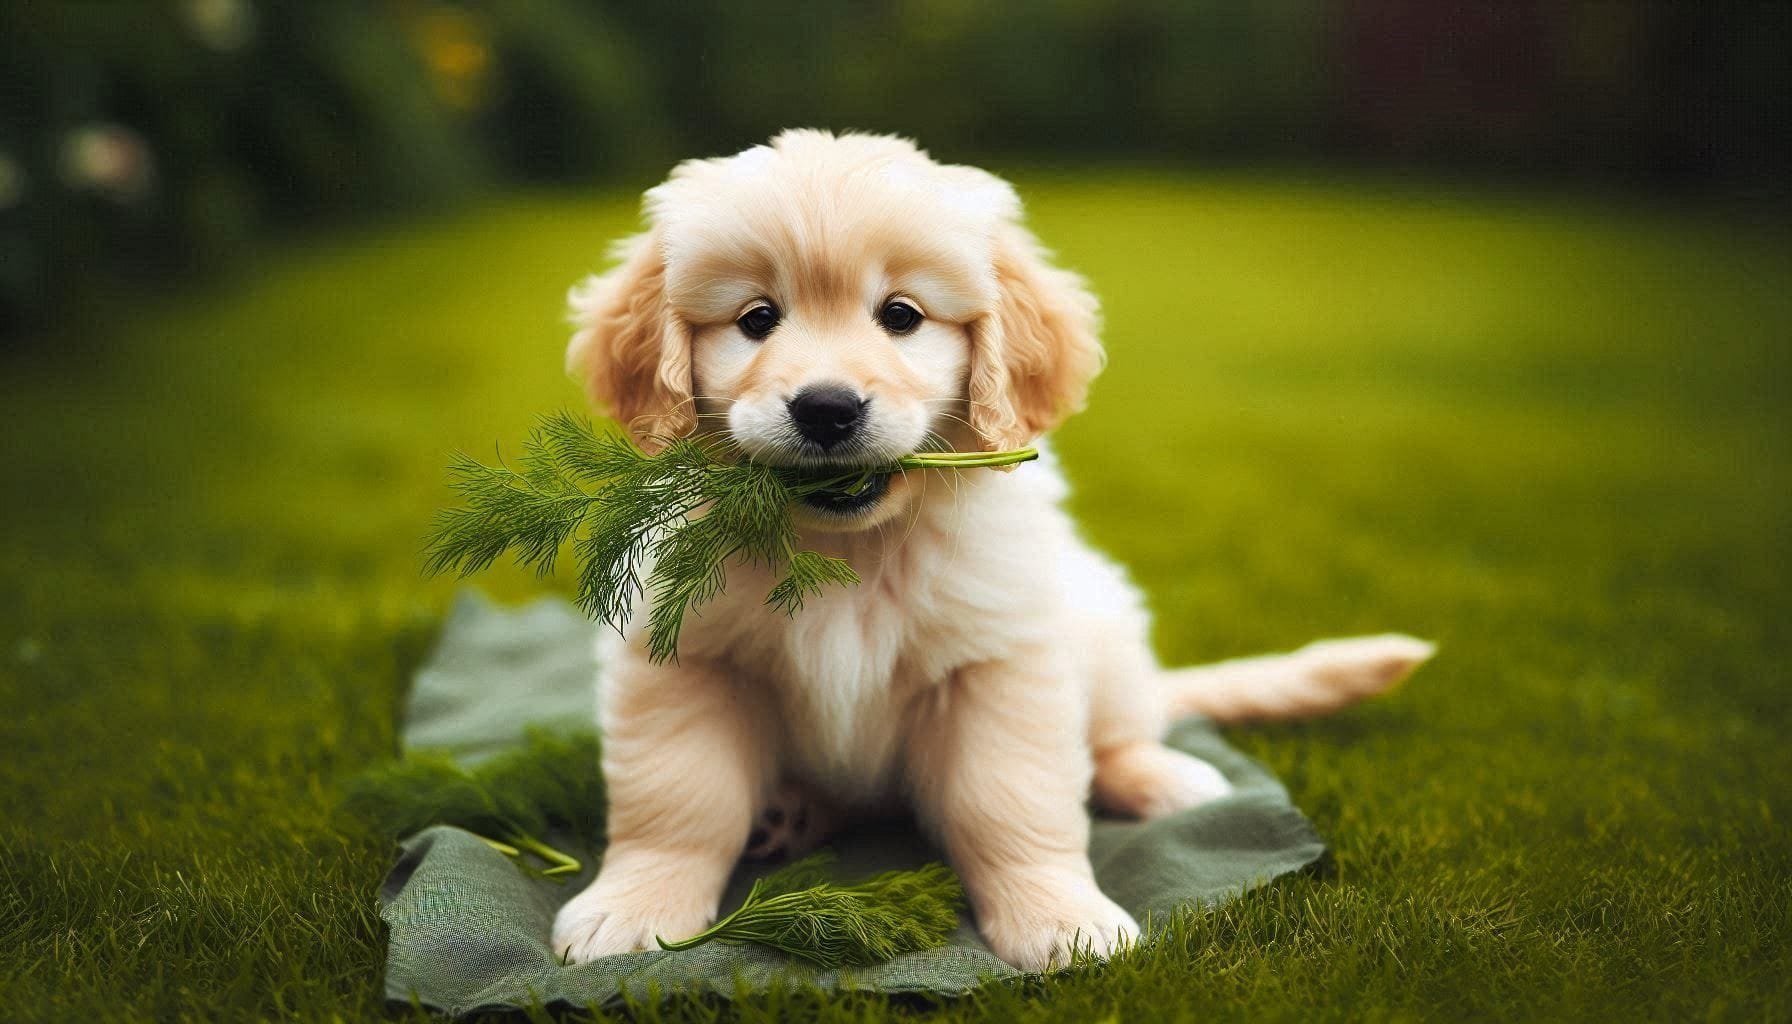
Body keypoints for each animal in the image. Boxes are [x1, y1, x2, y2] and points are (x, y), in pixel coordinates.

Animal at [551, 130, 1433, 968]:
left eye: (901, 316)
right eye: (757, 319)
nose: (827, 409)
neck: (849, 550)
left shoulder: (999, 665)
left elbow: (1010, 805)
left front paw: (1060, 919)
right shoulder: (683, 659)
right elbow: (677, 803)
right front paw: (634, 906)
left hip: (1106, 625)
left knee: (1126, 729)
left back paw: (1164, 777)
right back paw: (789, 812)